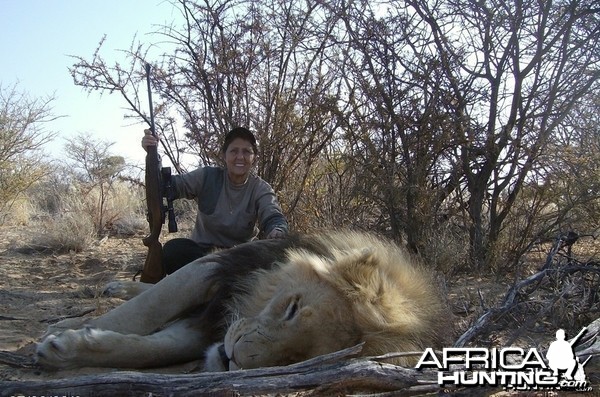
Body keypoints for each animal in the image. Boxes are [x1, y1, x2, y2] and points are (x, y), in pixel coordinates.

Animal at [34, 229, 446, 372]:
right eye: (292, 309)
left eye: (301, 359)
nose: (232, 358)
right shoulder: (219, 268)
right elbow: (145, 310)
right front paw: (63, 333)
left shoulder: (209, 328)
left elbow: (150, 349)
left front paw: (65, 349)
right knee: (147, 290)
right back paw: (114, 287)